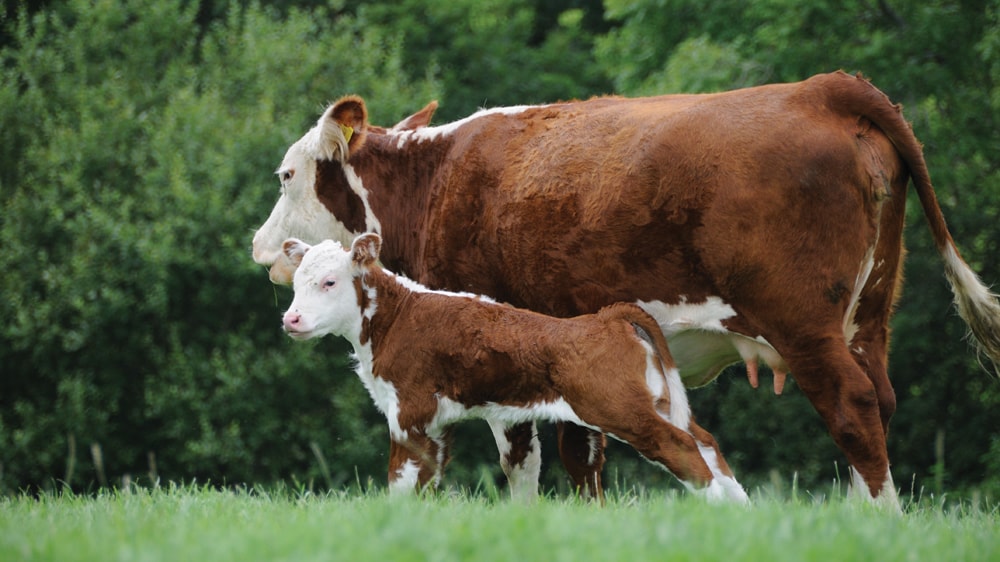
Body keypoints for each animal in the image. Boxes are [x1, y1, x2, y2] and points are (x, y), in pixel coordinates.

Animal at [282, 230, 752, 500]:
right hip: (654, 402)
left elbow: (399, 484)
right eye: (296, 283)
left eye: (329, 282)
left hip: (621, 409)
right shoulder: (435, 423)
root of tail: (607, 317)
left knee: (683, 448)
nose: (291, 319)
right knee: (705, 443)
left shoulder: (410, 415)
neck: (397, 317)